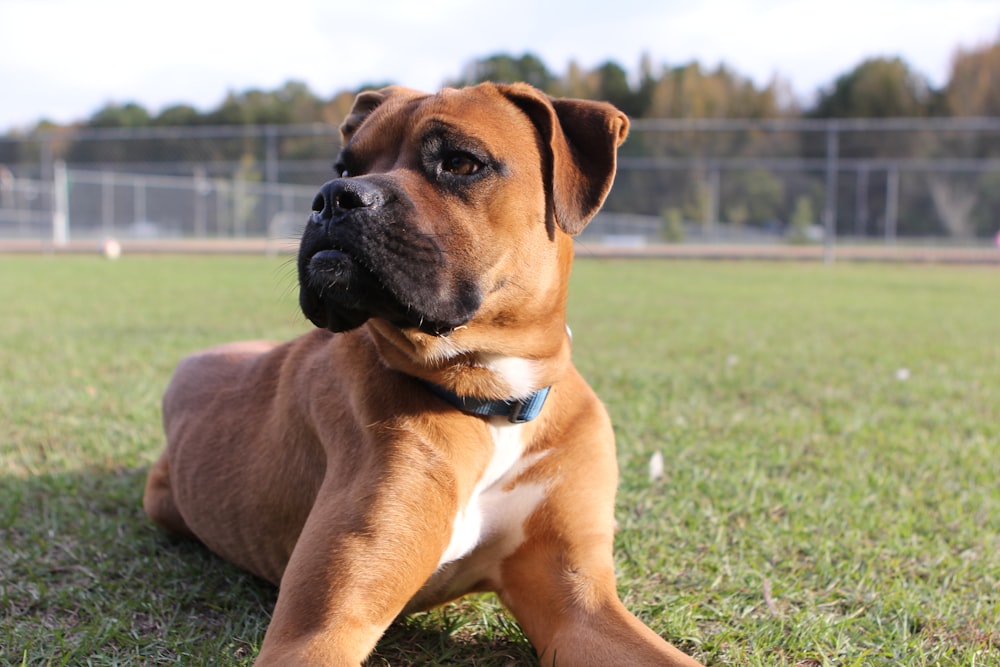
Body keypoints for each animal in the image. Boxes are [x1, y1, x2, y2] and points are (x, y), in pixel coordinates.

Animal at [143, 83, 704, 667]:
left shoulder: (579, 605)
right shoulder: (318, 632)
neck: (490, 398)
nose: (334, 196)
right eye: (345, 166)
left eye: (460, 162)